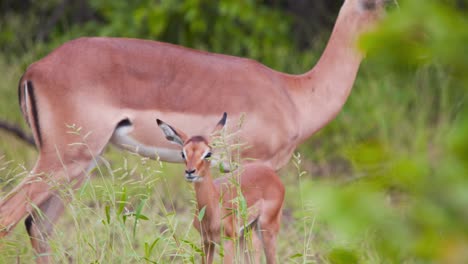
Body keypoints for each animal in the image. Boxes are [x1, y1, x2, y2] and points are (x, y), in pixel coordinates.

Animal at [158, 112, 286, 262]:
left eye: (208, 153)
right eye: (183, 153)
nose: (190, 172)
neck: (212, 211)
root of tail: (271, 174)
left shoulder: (228, 243)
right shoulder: (207, 242)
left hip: (267, 229)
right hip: (246, 232)